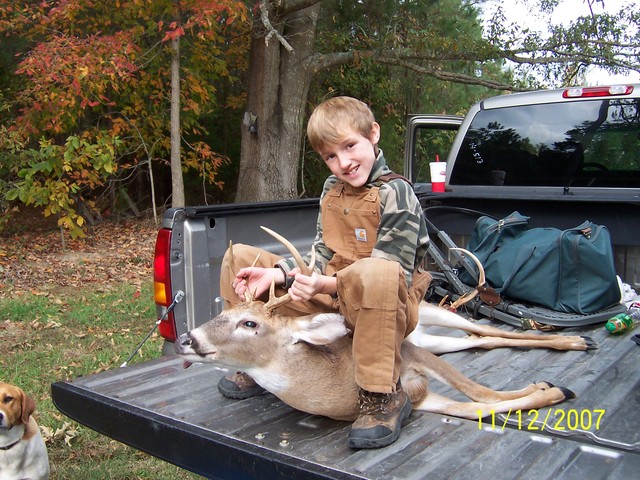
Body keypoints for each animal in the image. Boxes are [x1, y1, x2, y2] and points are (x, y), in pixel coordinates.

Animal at [175, 226, 583, 424]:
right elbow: (477, 409)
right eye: (220, 315)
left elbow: (484, 394)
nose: (186, 339)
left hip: (428, 319)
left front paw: (553, 388)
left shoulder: (409, 352)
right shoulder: (418, 396)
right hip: (432, 340)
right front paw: (549, 390)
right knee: (477, 340)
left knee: (486, 330)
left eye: (250, 323)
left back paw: (576, 341)